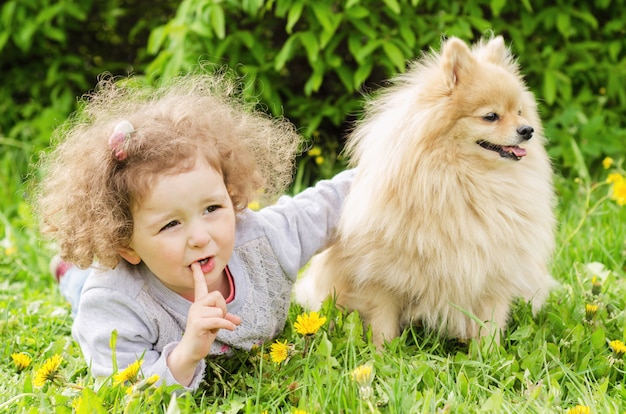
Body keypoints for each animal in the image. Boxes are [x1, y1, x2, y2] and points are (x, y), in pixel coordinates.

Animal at [294, 34, 560, 346]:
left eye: (519, 112)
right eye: (491, 116)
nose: (527, 130)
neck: (470, 181)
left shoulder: (493, 274)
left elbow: (490, 325)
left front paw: (490, 353)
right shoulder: (381, 275)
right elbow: (383, 321)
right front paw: (382, 353)